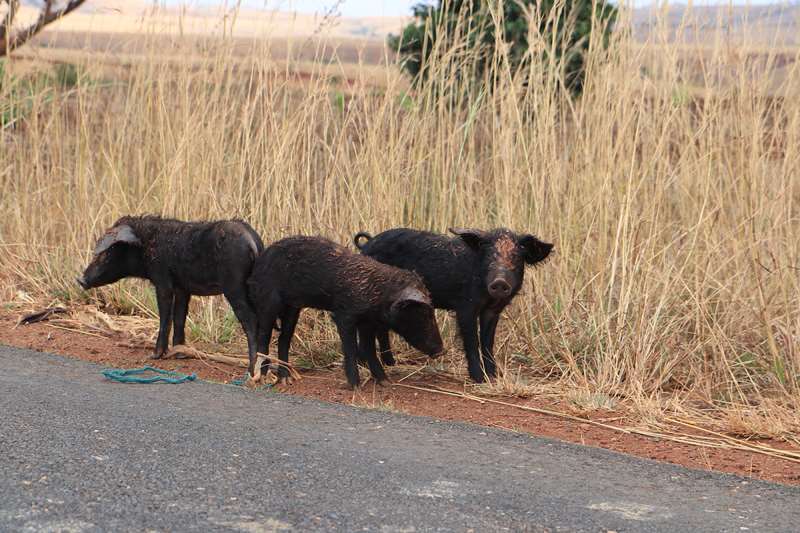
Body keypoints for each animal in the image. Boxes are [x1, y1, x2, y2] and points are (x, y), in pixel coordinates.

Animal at [77, 216, 266, 362]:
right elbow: (179, 317)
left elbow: (165, 318)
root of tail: (251, 242)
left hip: (234, 287)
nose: (80, 279)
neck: (146, 245)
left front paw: (155, 356)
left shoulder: (163, 282)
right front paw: (179, 354)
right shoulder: (182, 288)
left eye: (109, 251)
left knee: (251, 320)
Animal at [247, 236, 444, 386]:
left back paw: (287, 380)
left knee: (283, 340)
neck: (377, 294)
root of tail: (259, 262)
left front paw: (385, 382)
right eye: (422, 312)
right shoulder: (344, 315)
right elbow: (350, 348)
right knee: (263, 337)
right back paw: (262, 378)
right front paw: (355, 386)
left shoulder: (367, 322)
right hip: (268, 302)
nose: (441, 351)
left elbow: (369, 348)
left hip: (293, 308)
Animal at [354, 227, 552, 380]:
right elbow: (472, 341)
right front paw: (478, 379)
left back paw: (390, 363)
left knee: (381, 329)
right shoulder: (465, 307)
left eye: (516, 257)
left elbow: (488, 342)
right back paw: (365, 363)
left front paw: (493, 377)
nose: (500, 282)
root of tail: (366, 245)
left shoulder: (493, 311)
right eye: (489, 256)